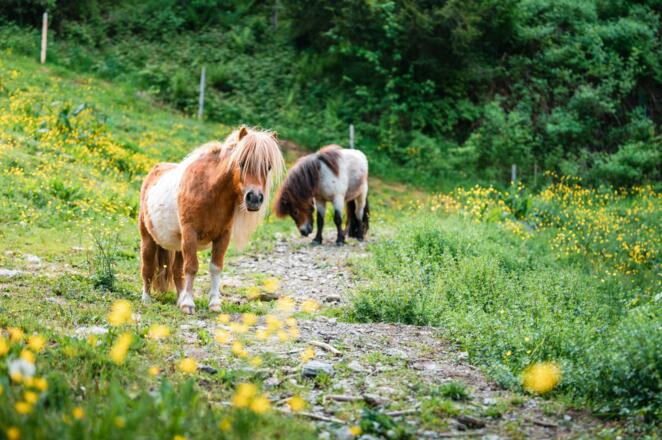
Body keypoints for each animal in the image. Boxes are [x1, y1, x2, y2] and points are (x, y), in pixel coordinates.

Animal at [138, 126, 284, 314]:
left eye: (268, 167)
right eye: (241, 162)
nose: (254, 198)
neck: (208, 190)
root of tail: (154, 172)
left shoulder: (222, 237)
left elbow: (215, 268)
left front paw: (214, 303)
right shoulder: (190, 233)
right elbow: (192, 267)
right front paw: (188, 304)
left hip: (178, 244)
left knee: (177, 271)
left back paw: (179, 299)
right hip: (148, 238)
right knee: (148, 268)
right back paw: (147, 299)